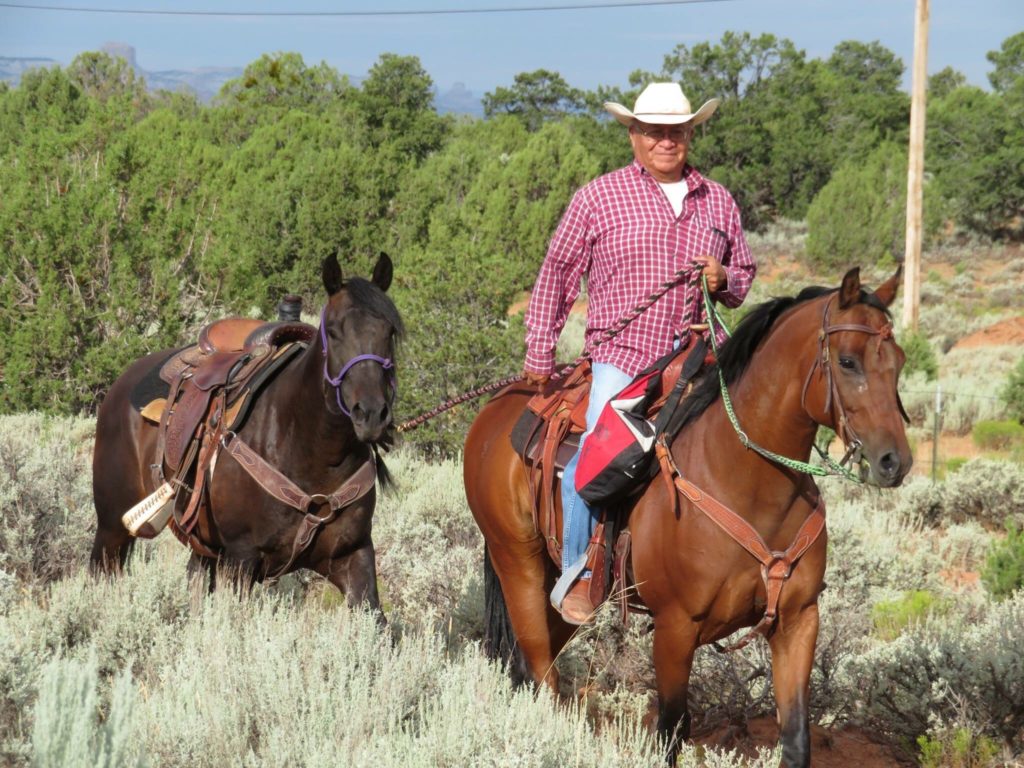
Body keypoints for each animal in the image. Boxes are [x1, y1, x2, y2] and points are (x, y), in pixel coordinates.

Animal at [91, 253, 402, 609]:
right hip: (112, 527)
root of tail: (120, 384)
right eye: (334, 332)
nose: (372, 413)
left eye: (390, 331)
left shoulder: (354, 554)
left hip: (202, 550)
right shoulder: (241, 558)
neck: (311, 448)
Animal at [463, 267, 911, 767]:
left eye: (899, 361)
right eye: (848, 362)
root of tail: (497, 408)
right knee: (541, 670)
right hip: (517, 564)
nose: (894, 461)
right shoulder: (675, 628)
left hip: (557, 589)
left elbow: (796, 737)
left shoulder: (799, 620)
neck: (745, 480)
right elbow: (672, 730)